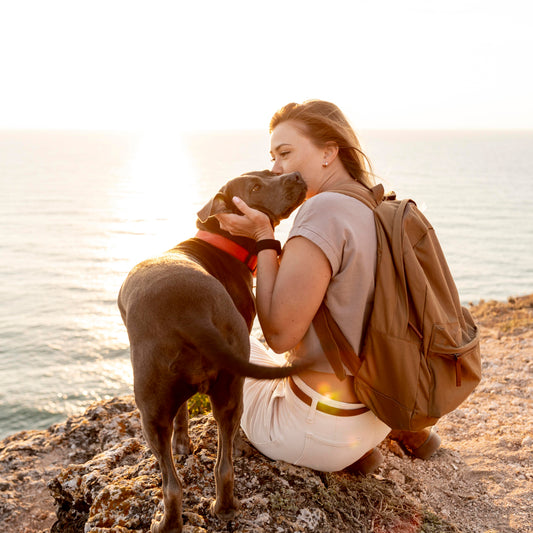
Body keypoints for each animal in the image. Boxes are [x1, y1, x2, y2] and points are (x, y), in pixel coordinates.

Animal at [118, 170, 306, 532]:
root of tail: (191, 313)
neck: (220, 242)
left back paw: (167, 523)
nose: (296, 175)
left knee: (172, 485)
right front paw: (184, 443)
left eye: (271, 172)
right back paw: (225, 507)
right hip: (230, 386)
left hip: (149, 408)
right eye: (257, 184)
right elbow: (184, 413)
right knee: (225, 466)